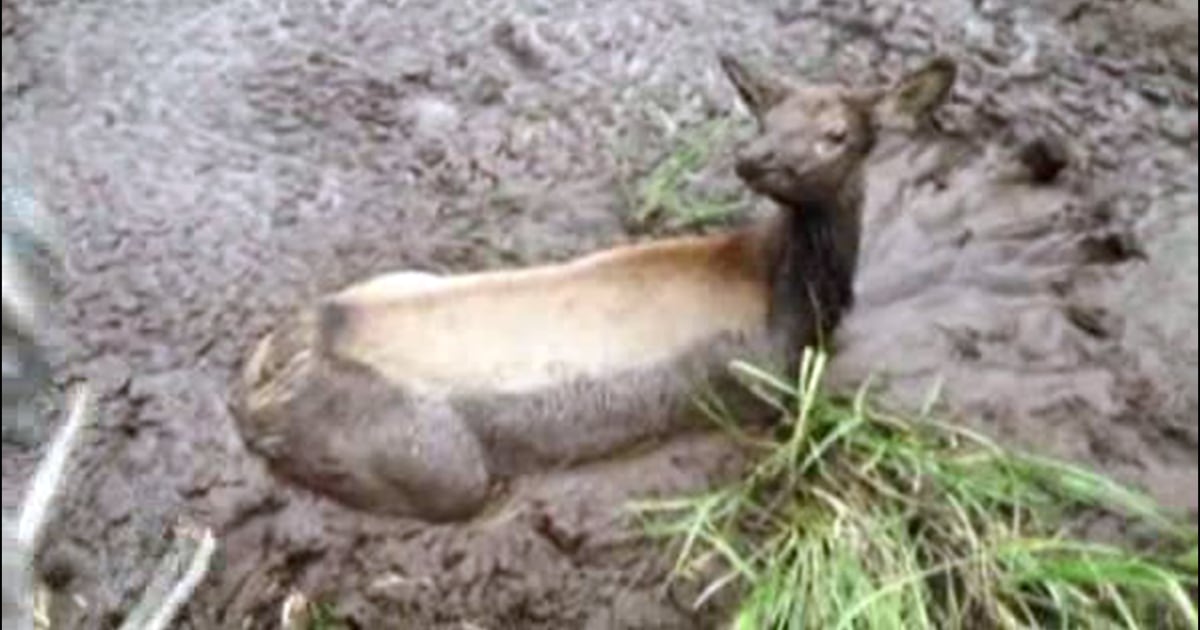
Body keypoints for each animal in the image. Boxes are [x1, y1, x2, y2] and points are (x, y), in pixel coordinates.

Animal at [233, 53, 958, 522]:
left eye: (837, 133)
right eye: (766, 119)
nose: (754, 159)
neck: (798, 306)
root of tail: (263, 374)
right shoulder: (755, 385)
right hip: (427, 455)